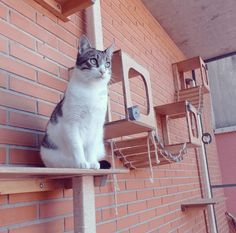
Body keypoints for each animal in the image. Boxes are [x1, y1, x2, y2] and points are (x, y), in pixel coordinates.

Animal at [40, 35, 114, 169]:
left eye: (107, 64)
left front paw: (92, 163)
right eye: (93, 61)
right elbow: (77, 146)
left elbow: (91, 147)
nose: (102, 71)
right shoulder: (72, 123)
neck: (92, 90)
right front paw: (82, 163)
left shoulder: (96, 125)